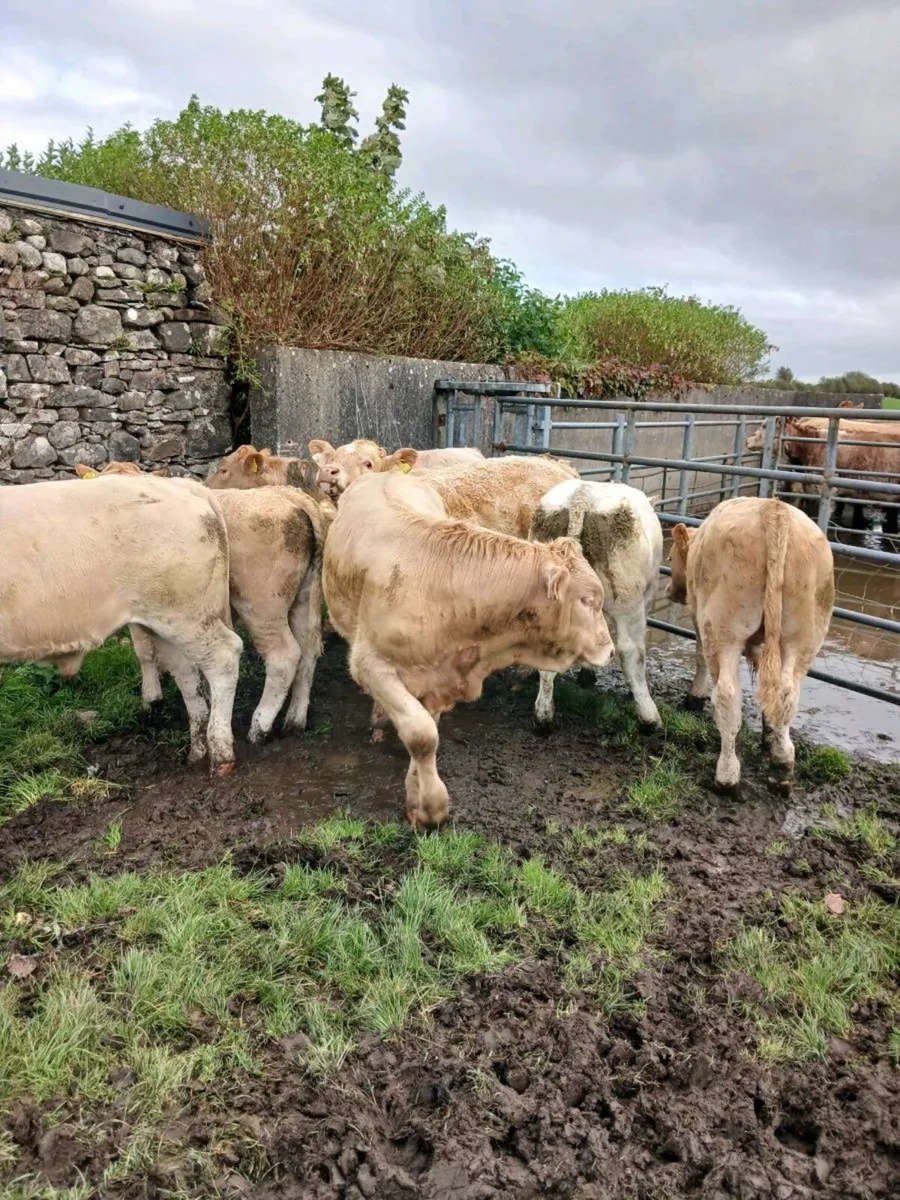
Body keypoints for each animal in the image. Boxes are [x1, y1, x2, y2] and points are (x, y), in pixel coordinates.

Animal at [0, 475, 242, 773]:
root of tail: (175, 483)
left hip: (185, 613)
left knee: (223, 657)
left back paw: (220, 754)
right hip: (163, 620)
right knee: (186, 672)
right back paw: (197, 750)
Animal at [78, 462, 329, 742]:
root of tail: (286, 494)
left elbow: (143, 650)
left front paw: (151, 699)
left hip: (262, 605)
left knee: (284, 656)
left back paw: (259, 726)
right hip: (304, 597)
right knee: (309, 650)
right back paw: (295, 718)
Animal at [323, 470, 615, 828]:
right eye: (587, 600)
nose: (610, 650)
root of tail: (387, 472)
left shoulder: (438, 677)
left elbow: (428, 733)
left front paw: (417, 797)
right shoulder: (370, 664)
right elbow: (421, 734)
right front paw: (432, 807)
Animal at [666, 497, 834, 792]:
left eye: (671, 557)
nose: (668, 590)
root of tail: (774, 509)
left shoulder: (699, 620)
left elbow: (699, 657)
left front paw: (694, 697)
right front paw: (768, 731)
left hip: (723, 630)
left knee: (727, 694)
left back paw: (727, 775)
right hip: (804, 636)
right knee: (786, 690)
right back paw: (781, 763)